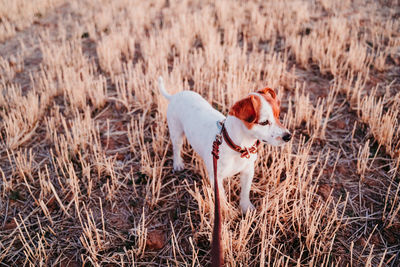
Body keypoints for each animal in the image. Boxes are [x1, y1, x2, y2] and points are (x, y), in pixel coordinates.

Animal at [158, 77, 292, 214]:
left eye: (278, 116)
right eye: (264, 122)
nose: (288, 136)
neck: (237, 147)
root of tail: (175, 96)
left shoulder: (248, 171)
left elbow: (245, 192)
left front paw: (246, 207)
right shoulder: (216, 178)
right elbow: (221, 198)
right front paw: (226, 212)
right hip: (176, 132)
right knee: (176, 148)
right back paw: (178, 164)